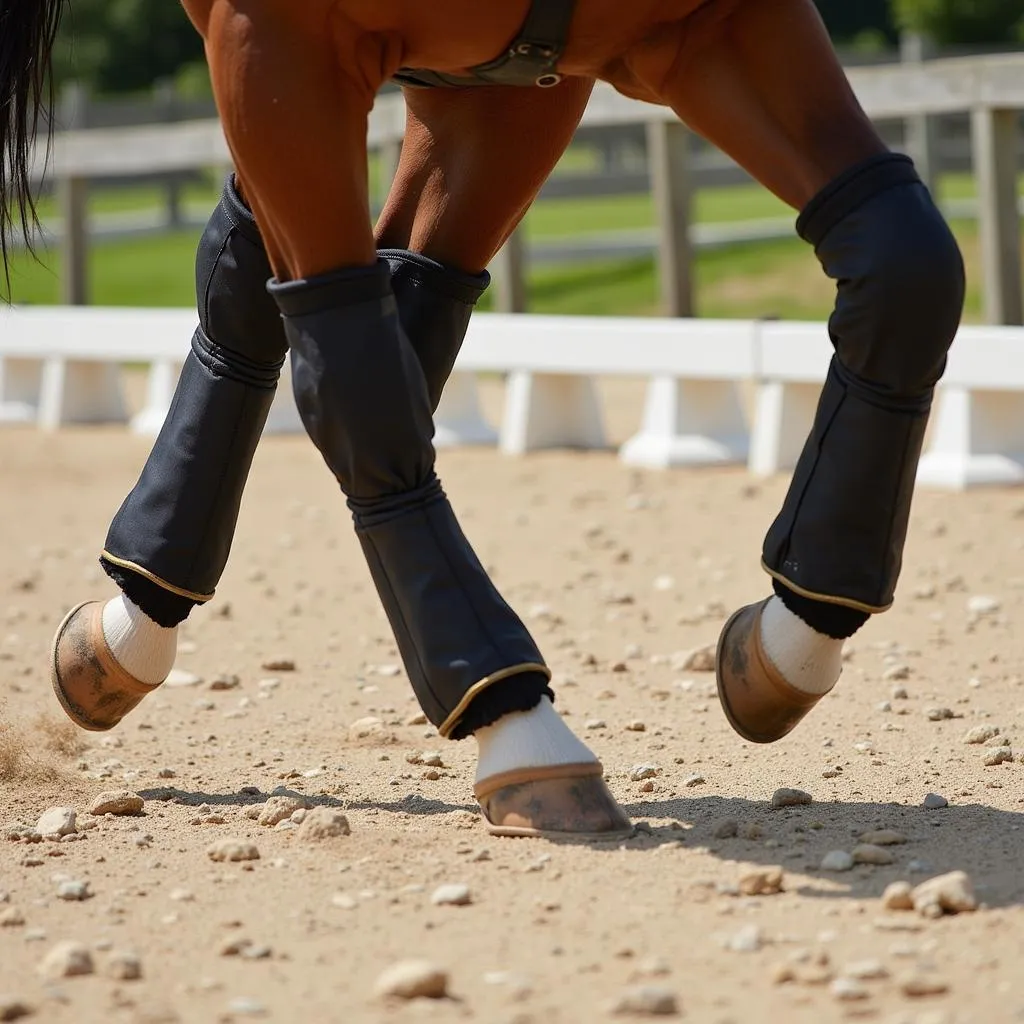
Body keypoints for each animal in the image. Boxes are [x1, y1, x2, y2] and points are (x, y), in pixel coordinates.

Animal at [4, 0, 962, 839]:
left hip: (463, 94)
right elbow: (357, 380)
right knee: (302, 301)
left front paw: (792, 634)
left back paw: (133, 615)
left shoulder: (684, 36)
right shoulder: (281, 40)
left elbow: (904, 255)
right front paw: (513, 716)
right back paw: (136, 613)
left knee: (327, 272)